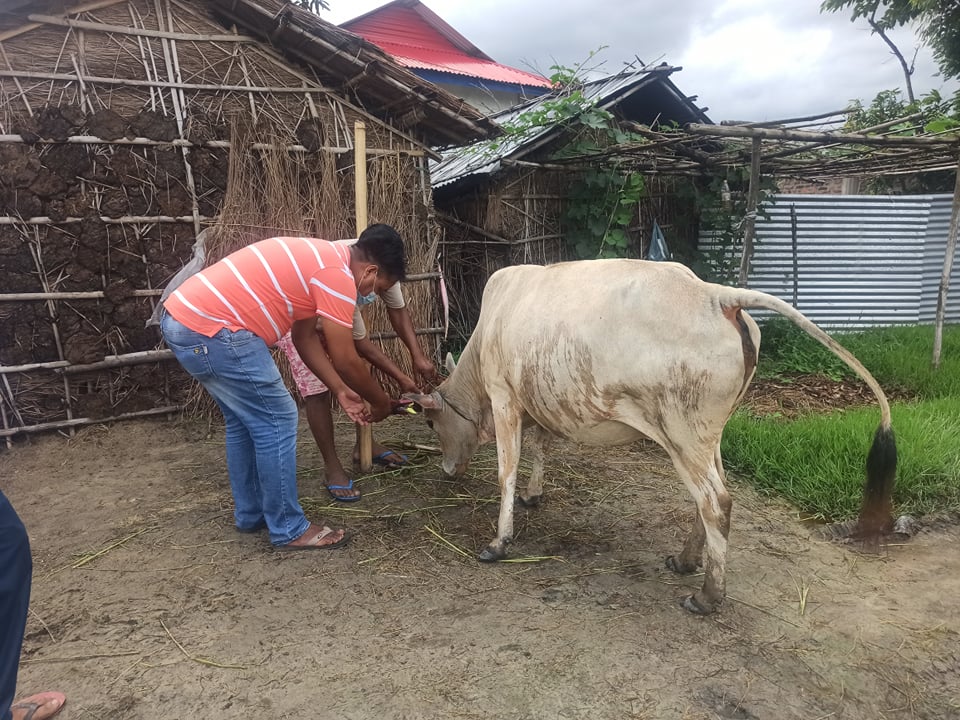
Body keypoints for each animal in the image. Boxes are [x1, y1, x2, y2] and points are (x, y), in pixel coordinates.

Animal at [402, 258, 896, 612]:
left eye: (430, 423)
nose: (447, 469)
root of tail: (716, 296)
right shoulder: (536, 402)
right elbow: (540, 448)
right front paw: (533, 495)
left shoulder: (505, 396)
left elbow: (506, 470)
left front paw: (499, 542)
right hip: (707, 436)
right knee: (713, 498)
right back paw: (686, 561)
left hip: (682, 433)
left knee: (716, 502)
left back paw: (707, 597)